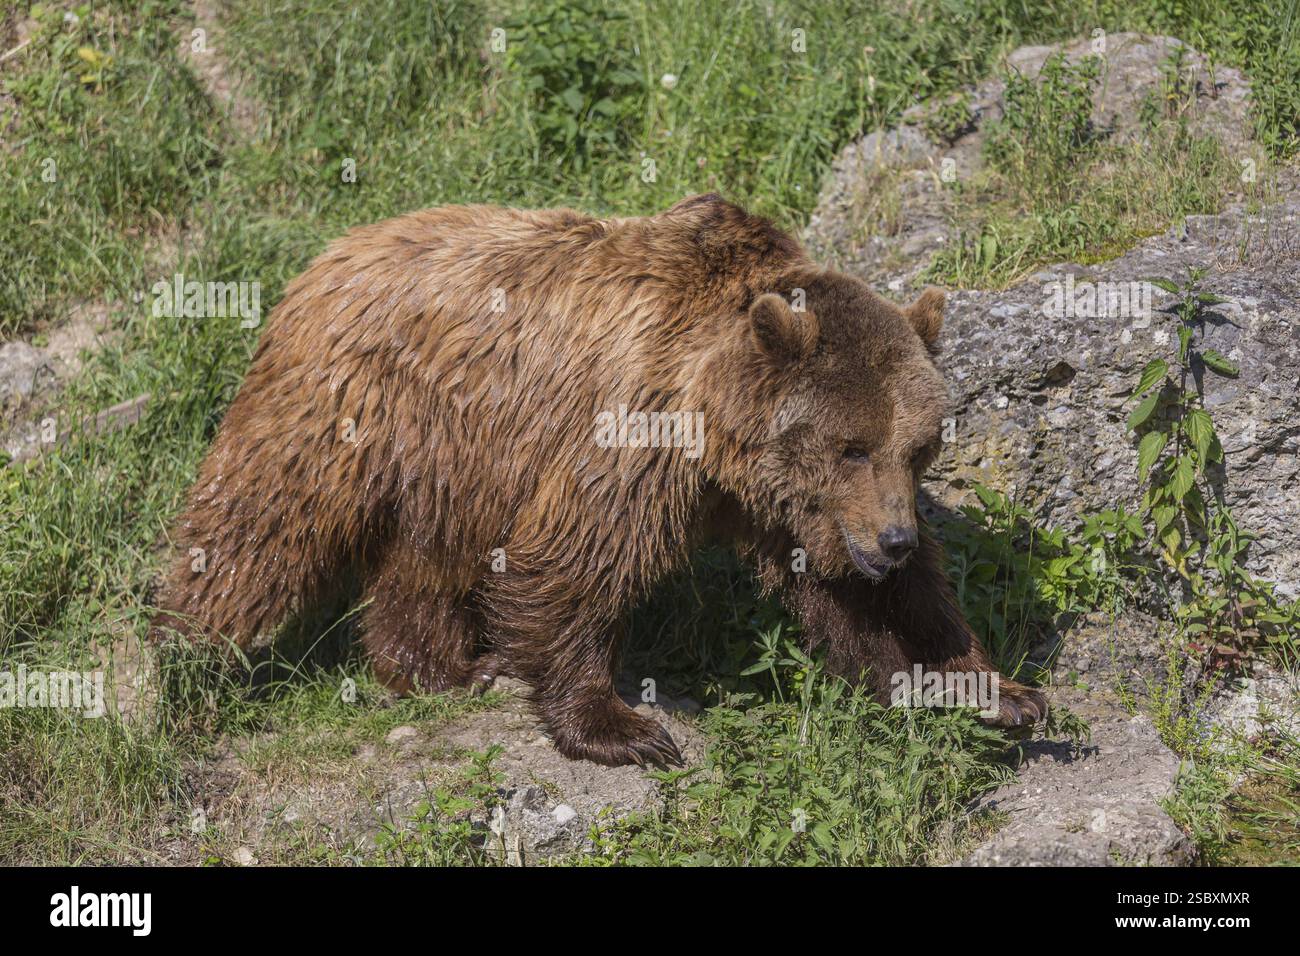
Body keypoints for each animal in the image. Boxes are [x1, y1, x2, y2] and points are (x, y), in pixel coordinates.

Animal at [154, 193, 1046, 767]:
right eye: (853, 446)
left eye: (919, 446)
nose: (893, 540)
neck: (713, 421)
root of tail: (327, 253)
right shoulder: (631, 428)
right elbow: (576, 561)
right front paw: (625, 728)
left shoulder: (789, 503)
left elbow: (864, 601)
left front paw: (994, 690)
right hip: (345, 404)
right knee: (262, 523)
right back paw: (182, 663)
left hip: (455, 456)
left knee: (427, 555)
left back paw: (442, 669)